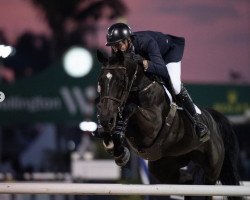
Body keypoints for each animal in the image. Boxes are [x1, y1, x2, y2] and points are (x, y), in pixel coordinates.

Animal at [95, 50, 240, 199]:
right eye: (100, 81)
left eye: (121, 82)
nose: (106, 119)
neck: (140, 87)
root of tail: (212, 118)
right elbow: (113, 129)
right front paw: (116, 147)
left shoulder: (152, 126)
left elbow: (131, 108)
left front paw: (118, 140)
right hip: (166, 165)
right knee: (188, 182)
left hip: (212, 169)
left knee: (207, 186)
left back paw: (201, 130)